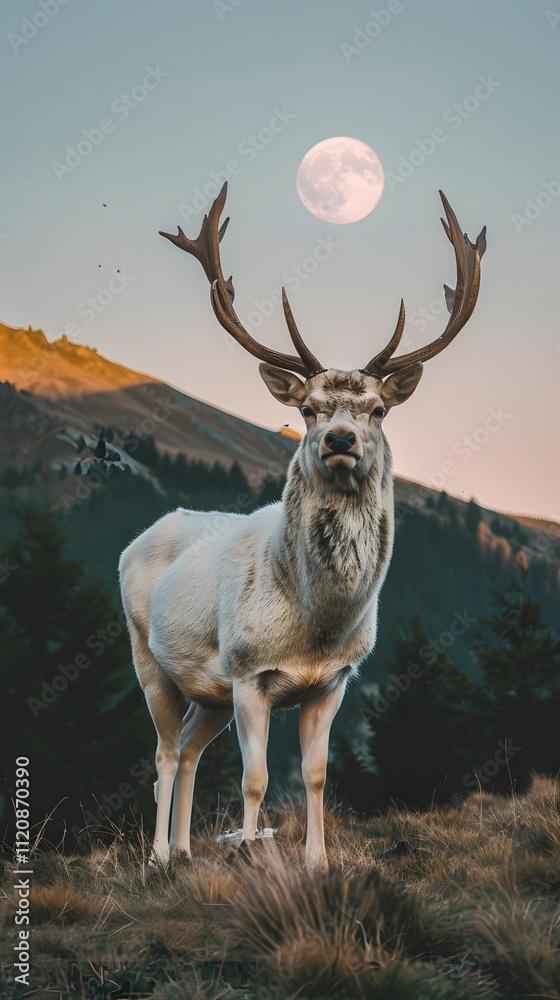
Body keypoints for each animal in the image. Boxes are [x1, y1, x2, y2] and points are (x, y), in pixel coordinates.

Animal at [119, 183, 486, 869]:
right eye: (309, 408)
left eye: (378, 408)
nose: (340, 438)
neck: (318, 624)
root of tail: (140, 539)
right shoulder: (248, 673)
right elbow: (255, 778)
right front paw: (248, 853)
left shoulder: (333, 681)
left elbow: (316, 775)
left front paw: (317, 861)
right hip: (147, 654)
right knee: (163, 751)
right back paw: (157, 856)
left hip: (207, 690)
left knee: (190, 749)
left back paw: (184, 851)